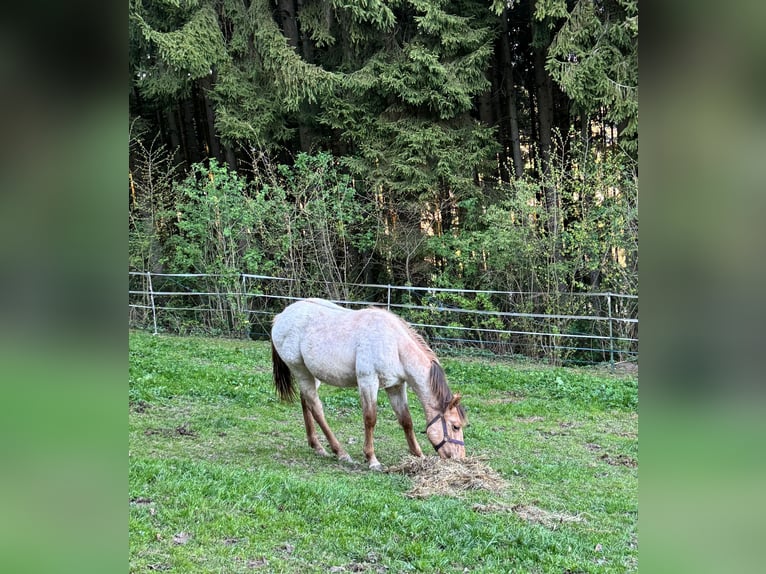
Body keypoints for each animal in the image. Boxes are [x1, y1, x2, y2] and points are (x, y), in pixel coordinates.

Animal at [270, 298, 466, 470]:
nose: (460, 458)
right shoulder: (368, 381)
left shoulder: (395, 386)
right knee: (316, 409)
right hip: (300, 371)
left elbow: (406, 421)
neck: (394, 344)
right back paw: (340, 452)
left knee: (306, 403)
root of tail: (281, 317)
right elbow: (370, 419)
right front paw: (372, 459)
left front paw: (419, 456)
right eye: (455, 426)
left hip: (312, 375)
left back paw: (317, 446)